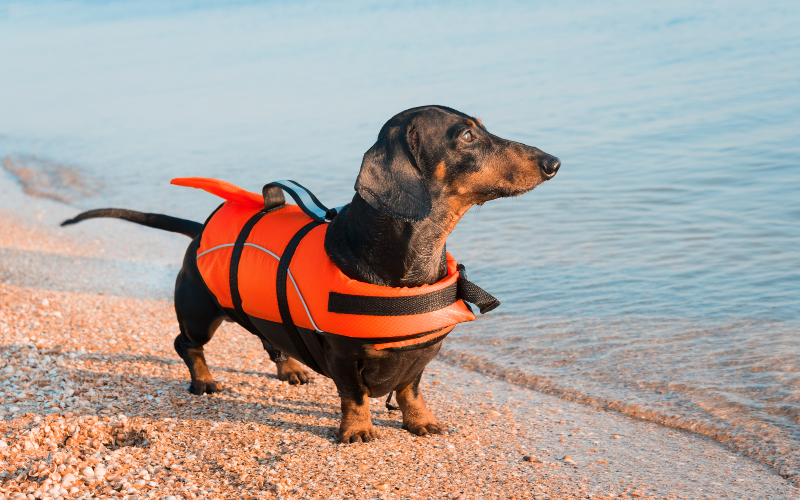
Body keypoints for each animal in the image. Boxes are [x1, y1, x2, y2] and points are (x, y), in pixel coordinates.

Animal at [62, 105, 560, 442]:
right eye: (468, 135)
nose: (553, 162)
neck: (414, 259)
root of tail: (199, 228)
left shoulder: (422, 352)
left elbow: (410, 389)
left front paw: (420, 421)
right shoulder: (341, 354)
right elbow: (354, 395)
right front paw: (357, 431)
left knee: (271, 338)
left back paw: (290, 367)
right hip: (199, 312)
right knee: (186, 344)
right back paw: (203, 381)